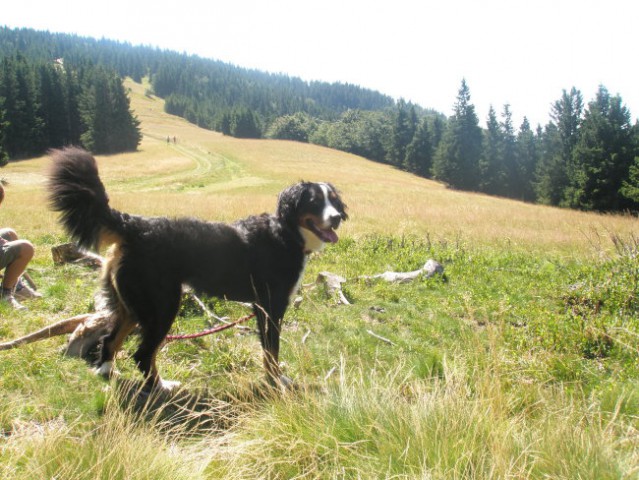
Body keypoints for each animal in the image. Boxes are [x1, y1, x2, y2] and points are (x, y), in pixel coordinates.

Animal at [48, 146, 350, 390]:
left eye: (333, 201)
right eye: (314, 202)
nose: (336, 218)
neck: (287, 233)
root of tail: (134, 225)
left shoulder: (261, 308)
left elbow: (268, 350)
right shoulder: (270, 307)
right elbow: (271, 351)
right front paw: (277, 381)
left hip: (132, 307)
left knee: (111, 340)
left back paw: (107, 372)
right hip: (161, 306)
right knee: (143, 354)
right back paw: (161, 387)